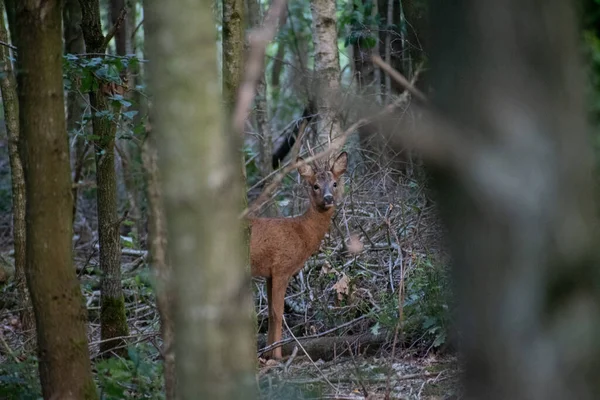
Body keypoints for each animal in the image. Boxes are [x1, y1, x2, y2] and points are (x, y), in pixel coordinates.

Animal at [251, 152, 350, 360]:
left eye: (335, 183)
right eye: (315, 185)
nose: (328, 197)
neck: (301, 232)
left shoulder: (269, 274)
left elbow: (271, 313)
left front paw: (268, 354)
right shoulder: (282, 267)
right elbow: (278, 312)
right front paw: (277, 357)